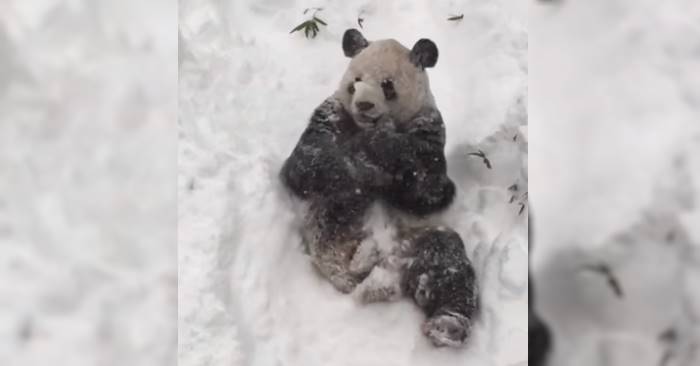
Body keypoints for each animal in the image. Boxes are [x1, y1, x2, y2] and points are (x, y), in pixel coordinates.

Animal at [282, 27, 478, 346]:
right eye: (355, 82)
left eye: (388, 85)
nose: (364, 105)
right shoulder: (331, 114)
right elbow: (304, 165)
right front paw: (358, 169)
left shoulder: (429, 129)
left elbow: (430, 189)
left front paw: (381, 144)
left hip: (424, 239)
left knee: (450, 264)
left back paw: (446, 324)